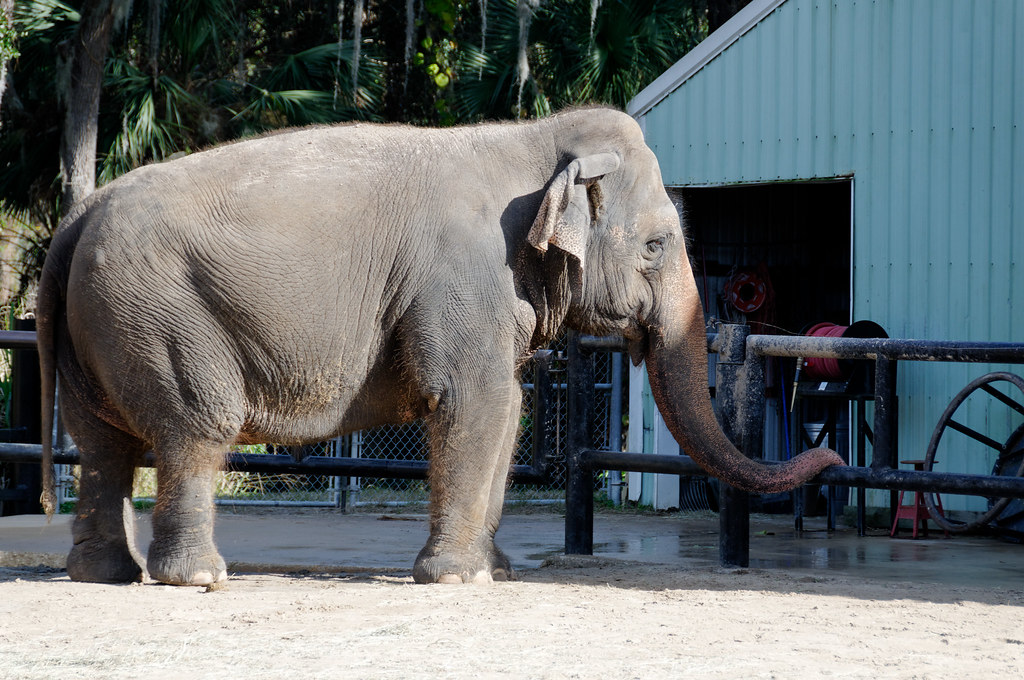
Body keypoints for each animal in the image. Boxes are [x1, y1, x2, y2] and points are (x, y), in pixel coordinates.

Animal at [36, 107, 843, 586]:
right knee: (193, 430)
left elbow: (508, 411)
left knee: (101, 444)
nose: (833, 455)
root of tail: (77, 219)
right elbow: (474, 400)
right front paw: (454, 577)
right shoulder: (464, 276)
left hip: (100, 325)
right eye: (656, 246)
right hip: (161, 313)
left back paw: (101, 575)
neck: (532, 137)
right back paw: (199, 579)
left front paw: (495, 573)